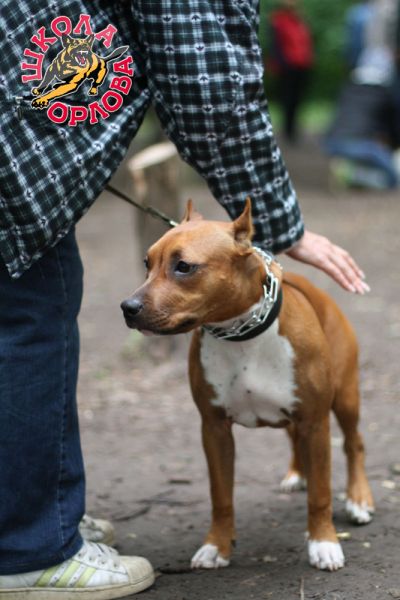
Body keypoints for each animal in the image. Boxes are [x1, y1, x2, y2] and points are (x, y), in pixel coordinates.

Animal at [121, 199, 374, 571]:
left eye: (183, 266)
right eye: (146, 263)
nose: (128, 307)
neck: (241, 334)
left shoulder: (315, 421)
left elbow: (321, 494)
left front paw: (324, 543)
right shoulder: (214, 429)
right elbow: (221, 496)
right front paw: (217, 546)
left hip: (344, 398)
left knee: (354, 444)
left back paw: (358, 499)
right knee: (294, 439)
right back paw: (298, 474)